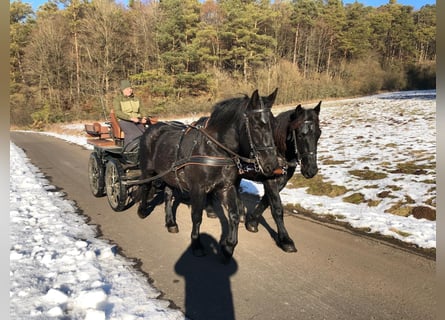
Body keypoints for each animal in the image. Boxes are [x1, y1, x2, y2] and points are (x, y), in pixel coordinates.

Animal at [138, 89, 278, 262]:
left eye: (274, 124)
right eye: (256, 125)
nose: (272, 165)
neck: (214, 149)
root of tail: (152, 126)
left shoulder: (227, 187)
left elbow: (233, 216)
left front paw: (229, 246)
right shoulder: (197, 189)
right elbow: (197, 216)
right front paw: (196, 244)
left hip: (169, 175)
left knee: (168, 195)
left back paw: (171, 223)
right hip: (147, 170)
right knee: (145, 186)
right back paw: (142, 210)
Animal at [241, 102, 320, 252]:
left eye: (319, 134)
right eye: (300, 135)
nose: (311, 170)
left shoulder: (281, 181)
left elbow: (266, 201)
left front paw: (252, 222)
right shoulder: (270, 180)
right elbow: (277, 208)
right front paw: (285, 239)